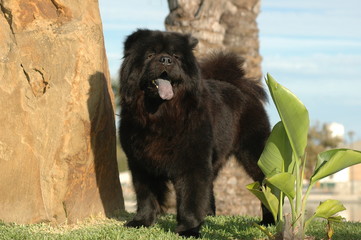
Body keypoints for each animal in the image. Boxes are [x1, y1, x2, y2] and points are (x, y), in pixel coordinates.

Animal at [119, 29, 272, 237]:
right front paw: (141, 221)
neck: (161, 115)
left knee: (267, 188)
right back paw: (209, 215)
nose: (166, 60)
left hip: (256, 154)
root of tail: (239, 85)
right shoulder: (140, 163)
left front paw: (189, 229)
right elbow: (146, 196)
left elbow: (189, 199)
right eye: (150, 55)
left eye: (176, 56)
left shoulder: (192, 163)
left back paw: (269, 221)